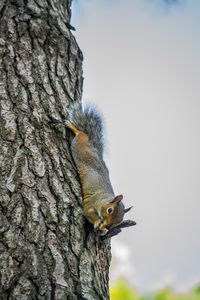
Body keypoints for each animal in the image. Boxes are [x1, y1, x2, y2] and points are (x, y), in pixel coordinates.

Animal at [65, 103, 134, 237]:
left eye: (119, 222)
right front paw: (98, 222)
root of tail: (91, 142)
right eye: (110, 210)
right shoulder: (91, 203)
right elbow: (88, 213)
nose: (107, 225)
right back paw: (72, 127)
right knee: (80, 133)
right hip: (78, 145)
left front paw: (102, 228)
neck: (103, 200)